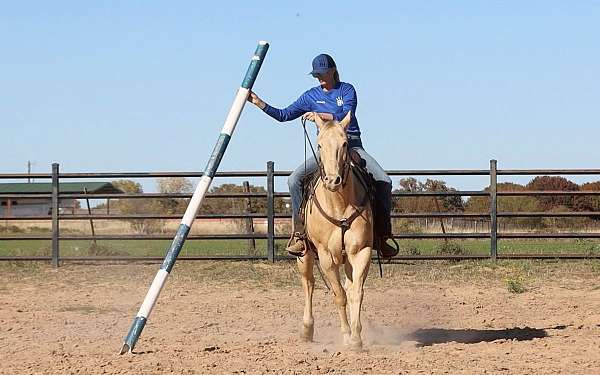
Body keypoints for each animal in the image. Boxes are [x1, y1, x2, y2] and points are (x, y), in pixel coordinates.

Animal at [298, 111, 372, 352]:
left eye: (345, 143)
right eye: (319, 145)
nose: (333, 180)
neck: (339, 204)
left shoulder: (361, 251)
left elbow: (355, 292)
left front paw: (356, 338)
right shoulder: (325, 256)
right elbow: (338, 295)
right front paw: (347, 336)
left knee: (348, 286)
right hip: (304, 256)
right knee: (309, 283)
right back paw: (306, 329)